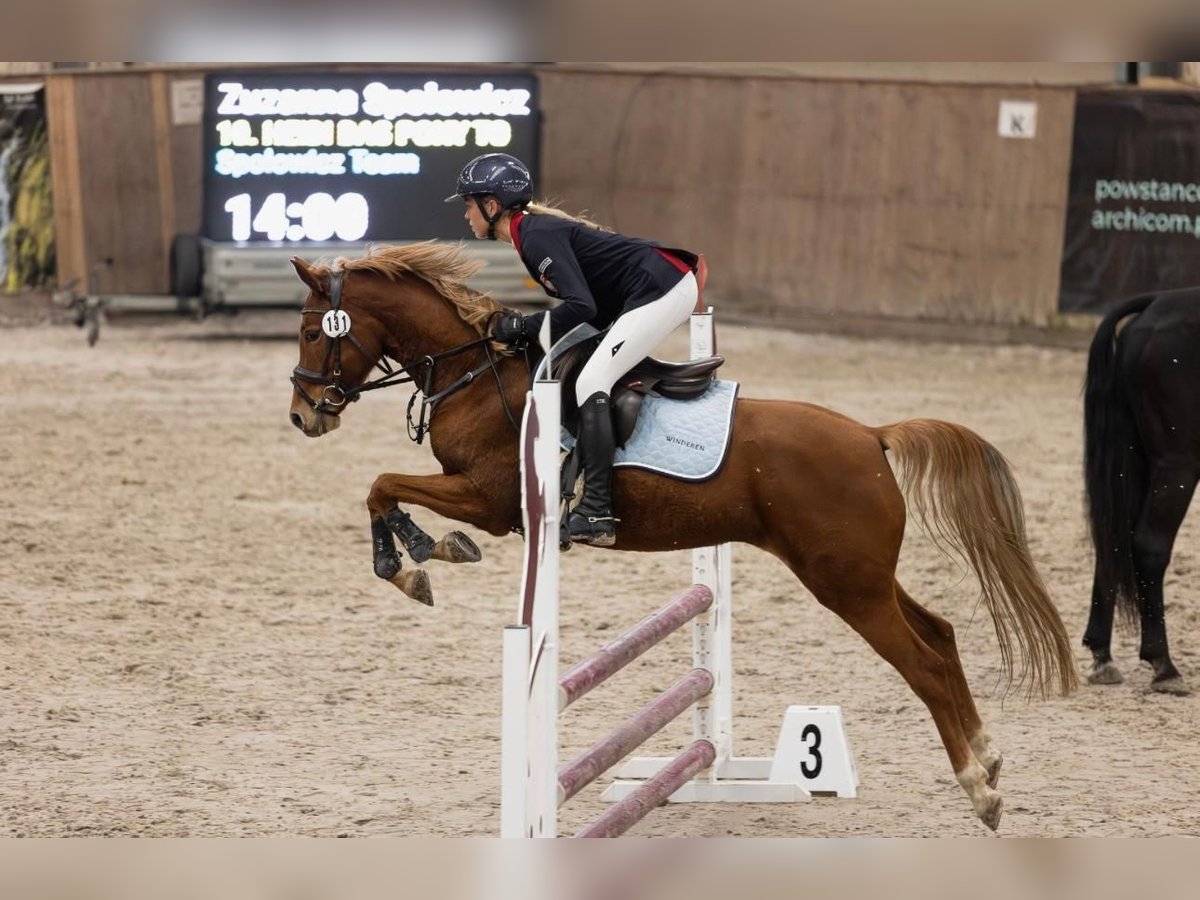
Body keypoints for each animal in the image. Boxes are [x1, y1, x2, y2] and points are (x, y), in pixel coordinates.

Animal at [286, 241, 1077, 831]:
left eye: (311, 331)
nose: (304, 415)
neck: (476, 374)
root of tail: (870, 434)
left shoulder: (488, 498)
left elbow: (382, 485)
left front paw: (416, 558)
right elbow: (382, 488)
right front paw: (419, 556)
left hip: (845, 583)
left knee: (926, 665)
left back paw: (979, 787)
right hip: (861, 575)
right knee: (941, 632)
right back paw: (988, 755)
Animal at [1083, 288, 1200, 695]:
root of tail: (1154, 305)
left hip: (1135, 459)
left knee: (1112, 540)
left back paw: (1102, 655)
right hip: (1176, 463)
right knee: (1149, 545)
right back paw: (1163, 665)